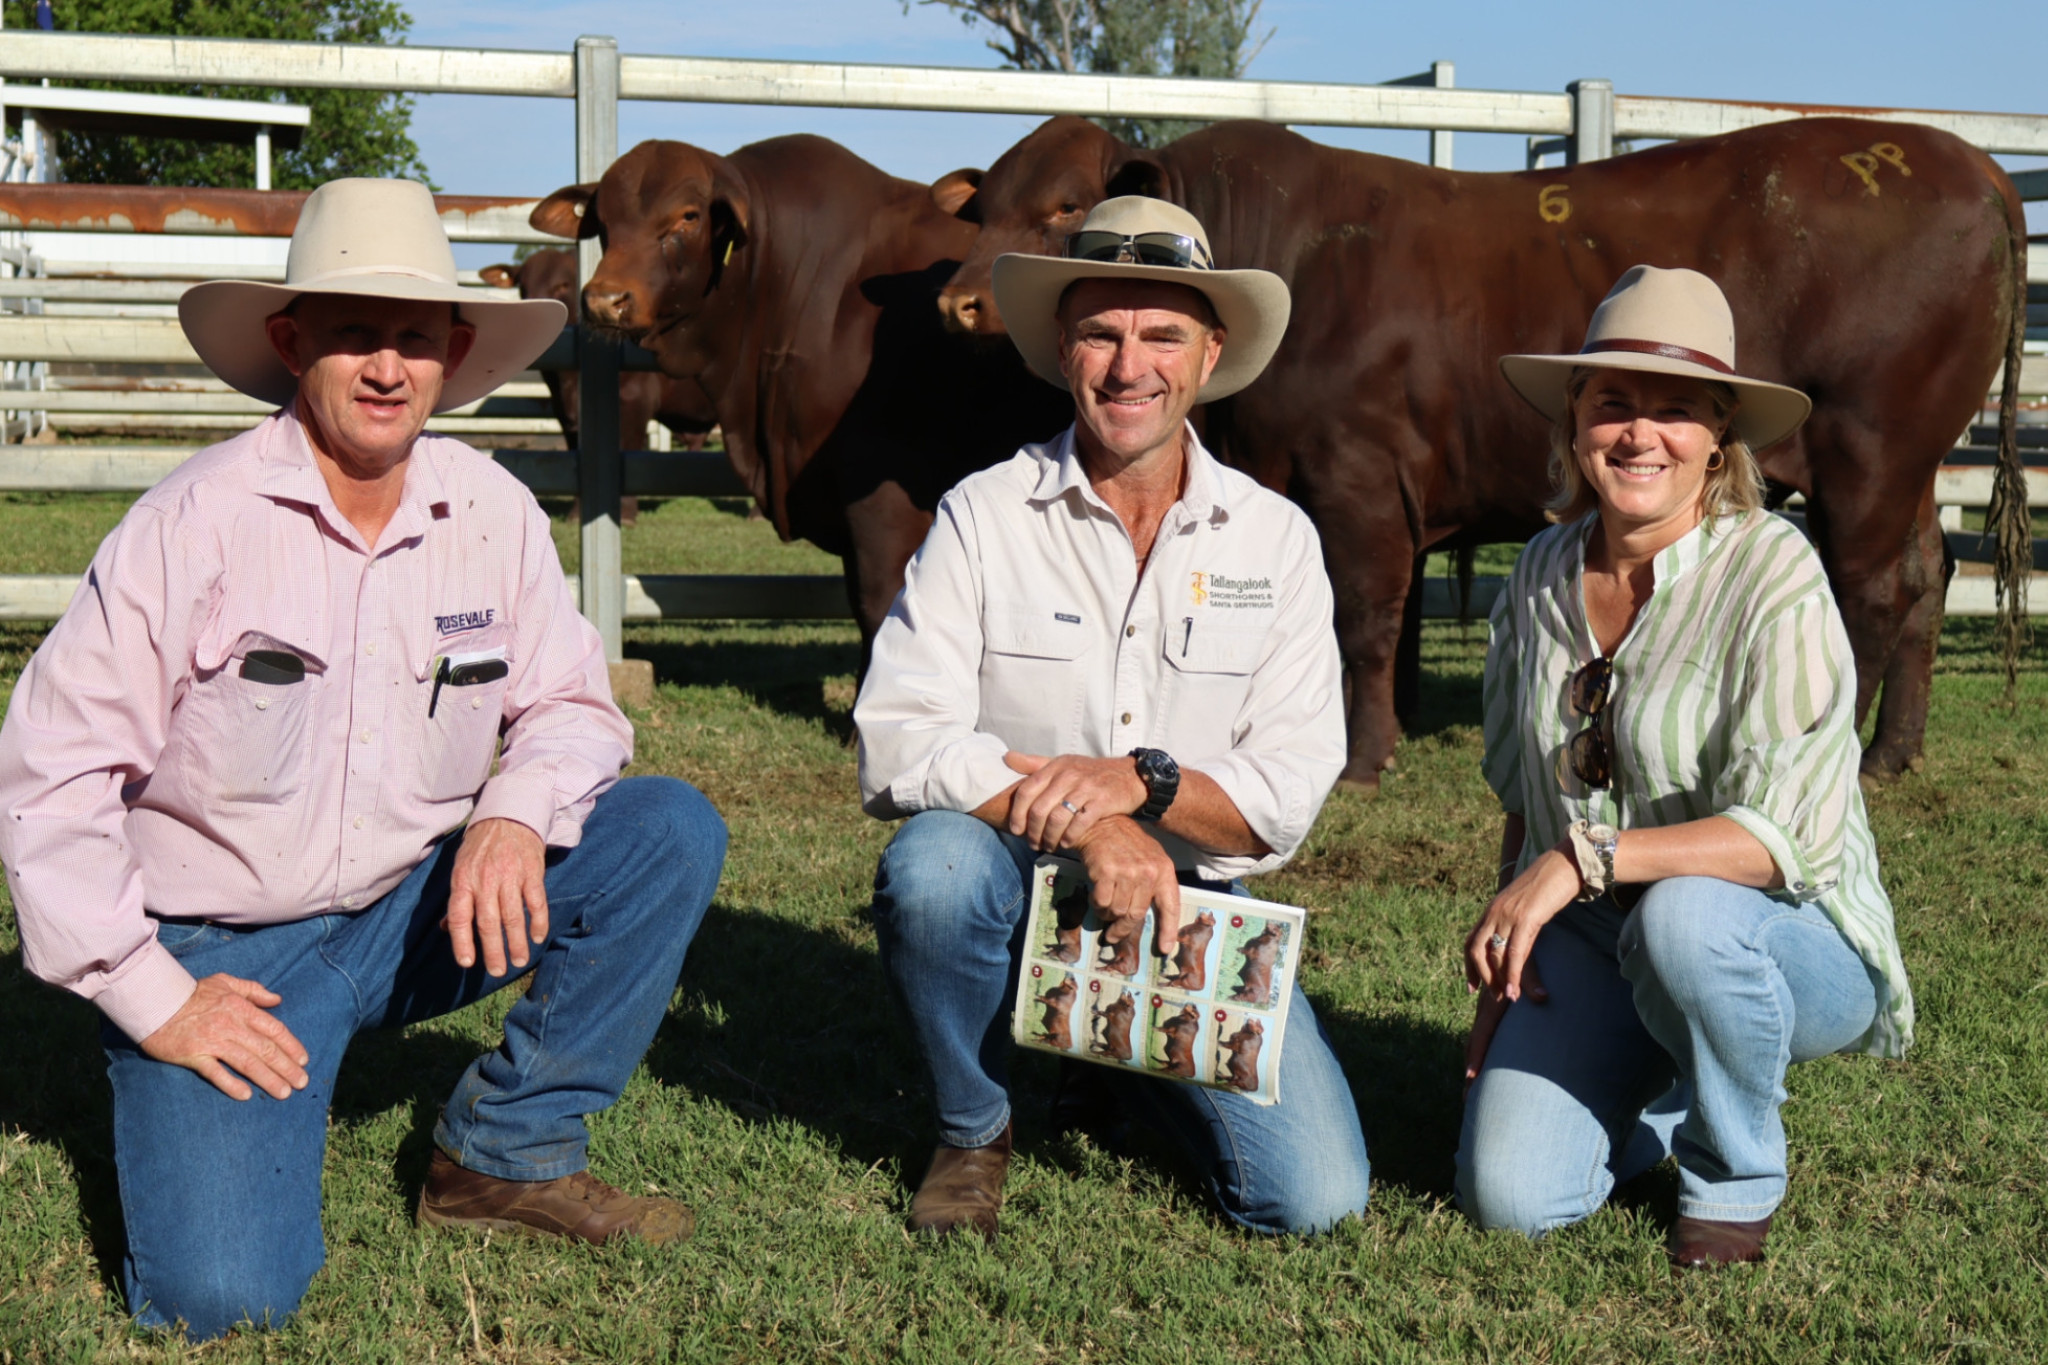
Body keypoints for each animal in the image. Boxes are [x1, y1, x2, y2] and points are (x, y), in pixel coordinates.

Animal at [937, 117, 2023, 789]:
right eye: (983, 204)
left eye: (1066, 206)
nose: (957, 300)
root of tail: (1969, 162)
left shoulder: (1358, 474)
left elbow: (1368, 617)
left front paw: (1364, 757)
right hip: (1910, 465)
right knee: (1929, 574)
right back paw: (1894, 750)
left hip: (1868, 449)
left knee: (1873, 592)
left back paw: (1852, 755)